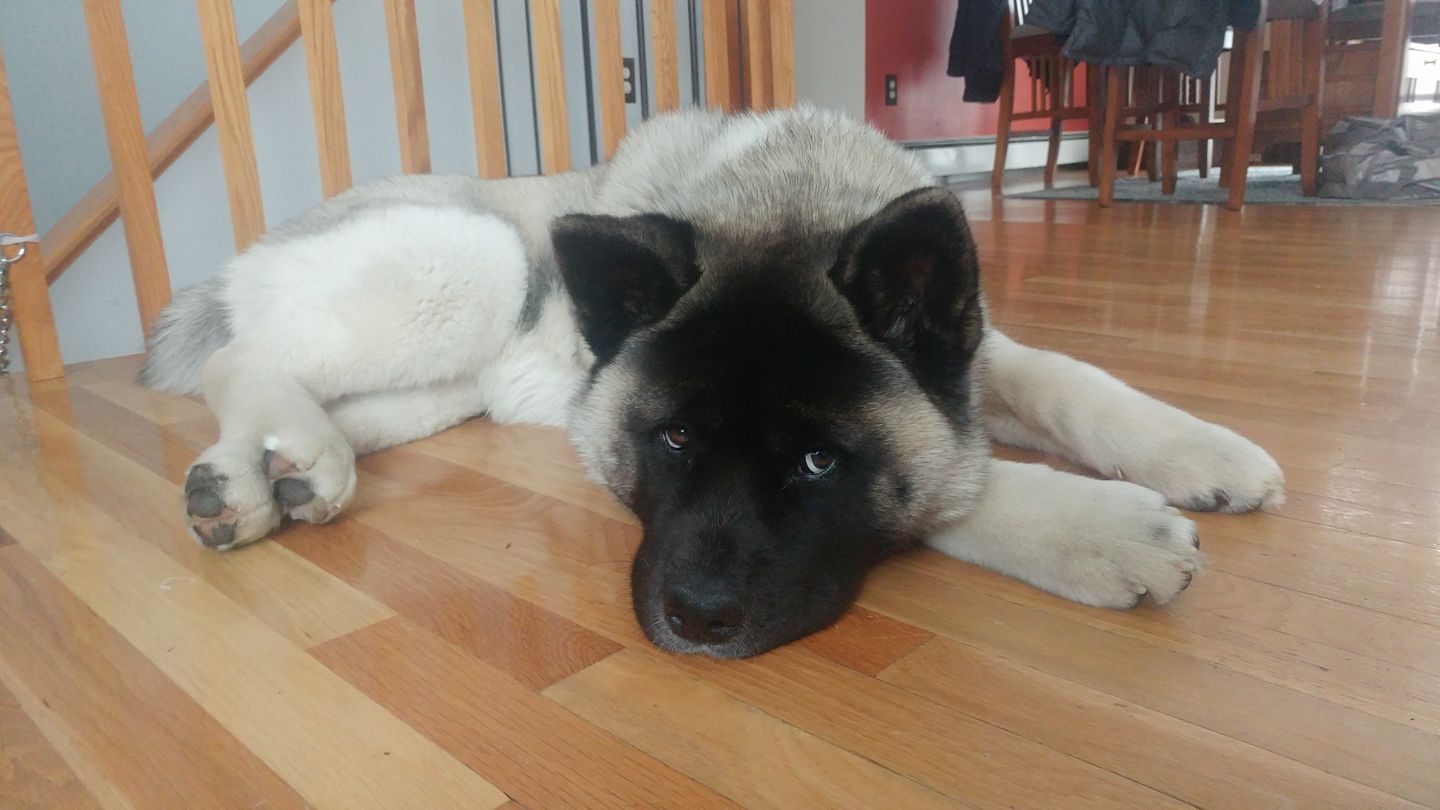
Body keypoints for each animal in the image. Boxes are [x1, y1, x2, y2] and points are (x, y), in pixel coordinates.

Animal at [143, 103, 1284, 657]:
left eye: (818, 459)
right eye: (677, 440)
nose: (695, 620)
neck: (788, 199)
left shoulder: (970, 355)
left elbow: (1066, 380)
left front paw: (1204, 452)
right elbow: (965, 485)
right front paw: (1100, 529)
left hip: (443, 378)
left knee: (292, 391)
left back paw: (265, 475)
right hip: (479, 260)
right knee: (240, 354)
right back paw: (280, 461)